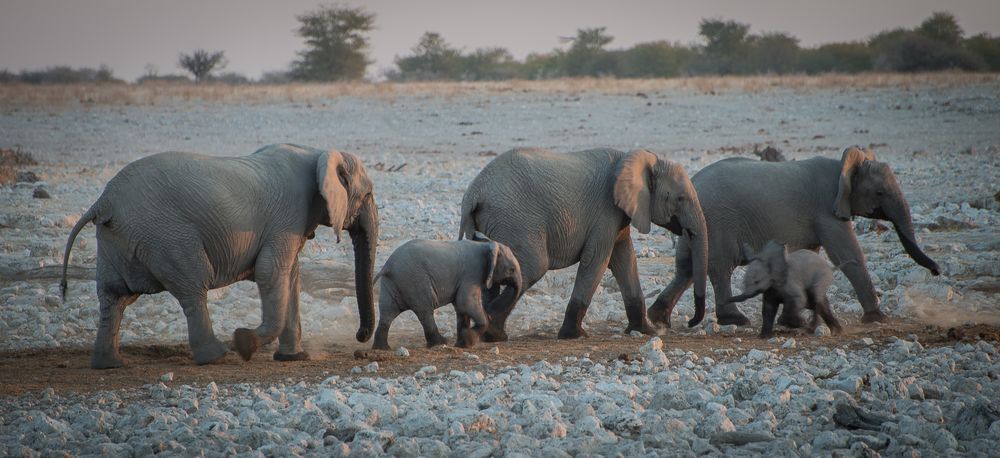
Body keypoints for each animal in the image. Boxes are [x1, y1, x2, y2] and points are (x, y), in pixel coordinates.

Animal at [59, 145, 378, 370]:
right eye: (368, 195)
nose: (361, 337)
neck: (316, 152)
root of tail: (104, 201)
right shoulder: (287, 215)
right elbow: (271, 272)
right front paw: (244, 343)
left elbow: (290, 278)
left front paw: (294, 358)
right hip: (167, 236)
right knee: (193, 286)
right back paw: (217, 356)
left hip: (116, 239)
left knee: (114, 297)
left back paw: (109, 364)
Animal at [370, 233, 524, 350]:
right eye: (511, 270)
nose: (491, 313)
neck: (486, 245)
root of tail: (388, 265)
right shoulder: (471, 273)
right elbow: (465, 303)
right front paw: (469, 341)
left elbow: (461, 308)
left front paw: (462, 344)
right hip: (415, 280)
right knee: (425, 311)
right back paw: (441, 343)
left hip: (392, 283)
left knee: (387, 313)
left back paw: (382, 348)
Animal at [460, 147, 712, 340]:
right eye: (680, 199)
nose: (691, 322)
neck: (636, 158)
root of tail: (473, 193)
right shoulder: (605, 211)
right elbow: (598, 259)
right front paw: (574, 335)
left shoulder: (619, 215)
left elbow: (625, 259)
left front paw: (645, 331)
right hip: (515, 221)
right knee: (532, 267)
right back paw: (491, 332)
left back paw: (490, 333)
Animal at [652, 147, 940, 330]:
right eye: (879, 193)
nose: (937, 271)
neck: (843, 167)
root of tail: (694, 182)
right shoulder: (827, 210)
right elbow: (848, 254)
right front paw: (877, 318)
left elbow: (811, 258)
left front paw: (793, 320)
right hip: (718, 222)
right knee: (720, 268)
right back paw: (735, 320)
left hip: (696, 225)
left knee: (687, 269)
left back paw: (659, 319)